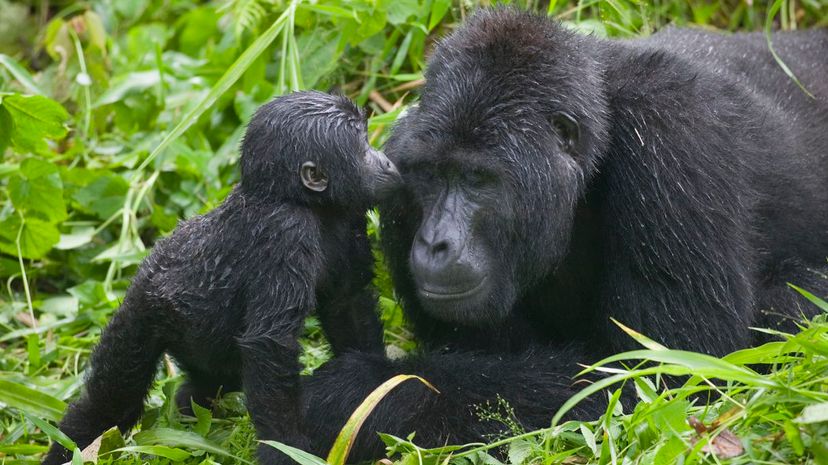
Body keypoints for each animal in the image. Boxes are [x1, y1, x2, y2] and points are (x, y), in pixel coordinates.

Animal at [43, 90, 400, 464]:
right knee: (112, 402)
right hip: (141, 311)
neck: (297, 199)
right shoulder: (285, 232)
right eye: (362, 146)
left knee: (209, 382)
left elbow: (348, 304)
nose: (387, 162)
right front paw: (284, 447)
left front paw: (373, 385)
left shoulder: (348, 215)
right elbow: (270, 344)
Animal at [300, 8, 824, 460]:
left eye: (477, 179)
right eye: (430, 175)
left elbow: (665, 376)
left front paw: (360, 391)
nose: (434, 243)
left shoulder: (674, 133)